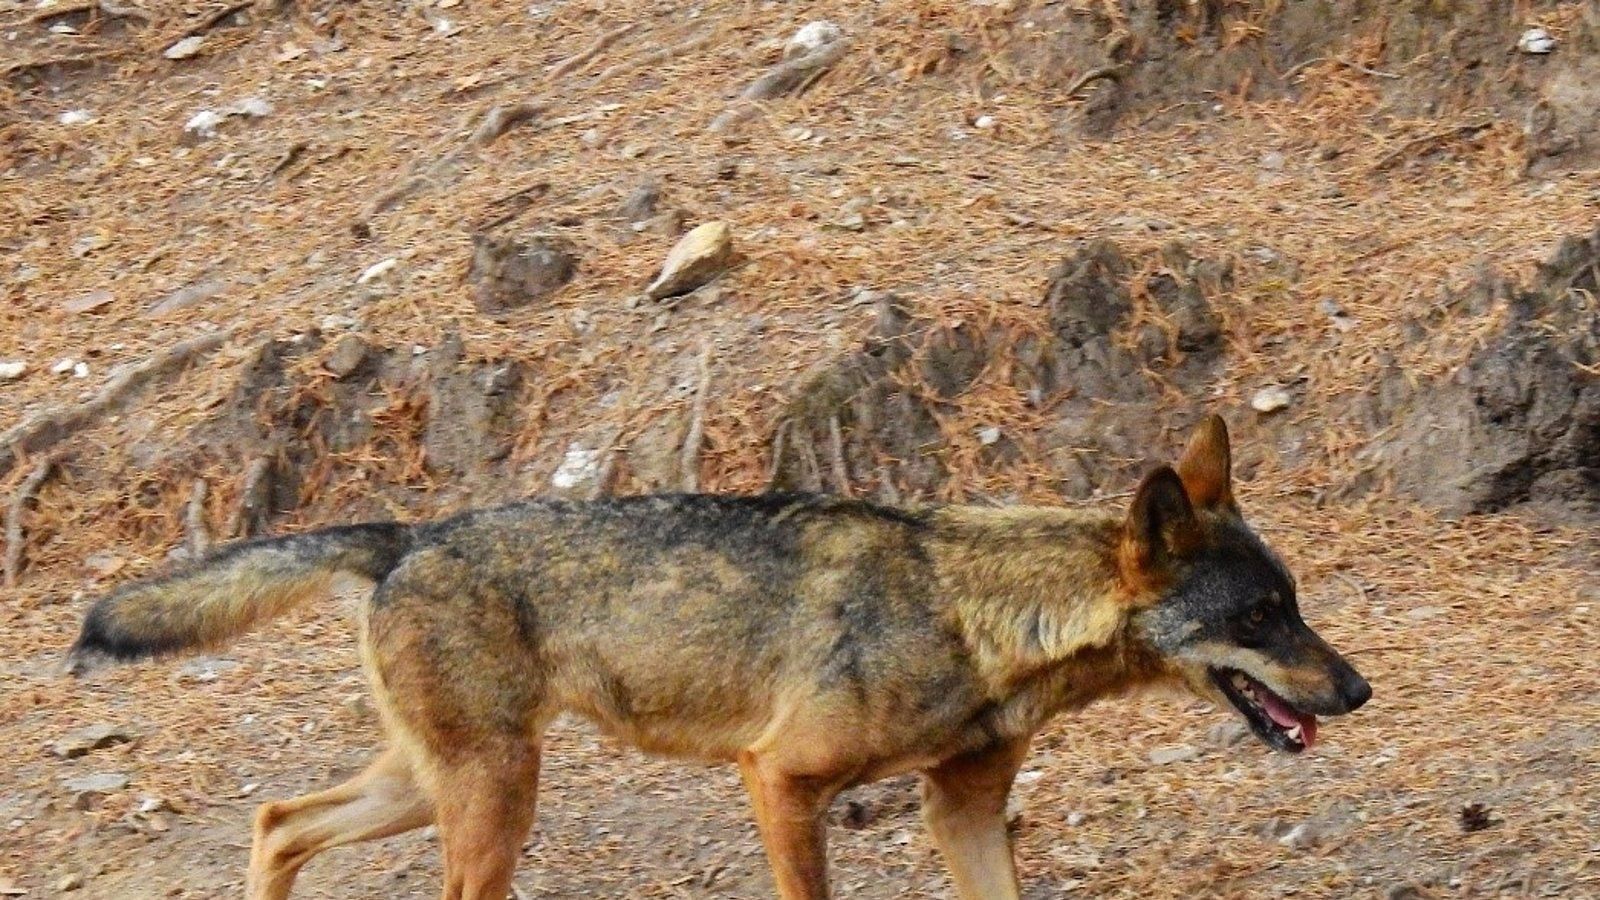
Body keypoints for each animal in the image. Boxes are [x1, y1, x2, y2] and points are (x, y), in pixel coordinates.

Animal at [68, 416, 1369, 890]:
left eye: (1294, 606)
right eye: (1261, 620)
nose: (1357, 689)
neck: (973, 615)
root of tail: (408, 534)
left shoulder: (962, 808)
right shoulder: (780, 782)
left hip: (433, 787)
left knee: (276, 820)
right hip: (488, 799)